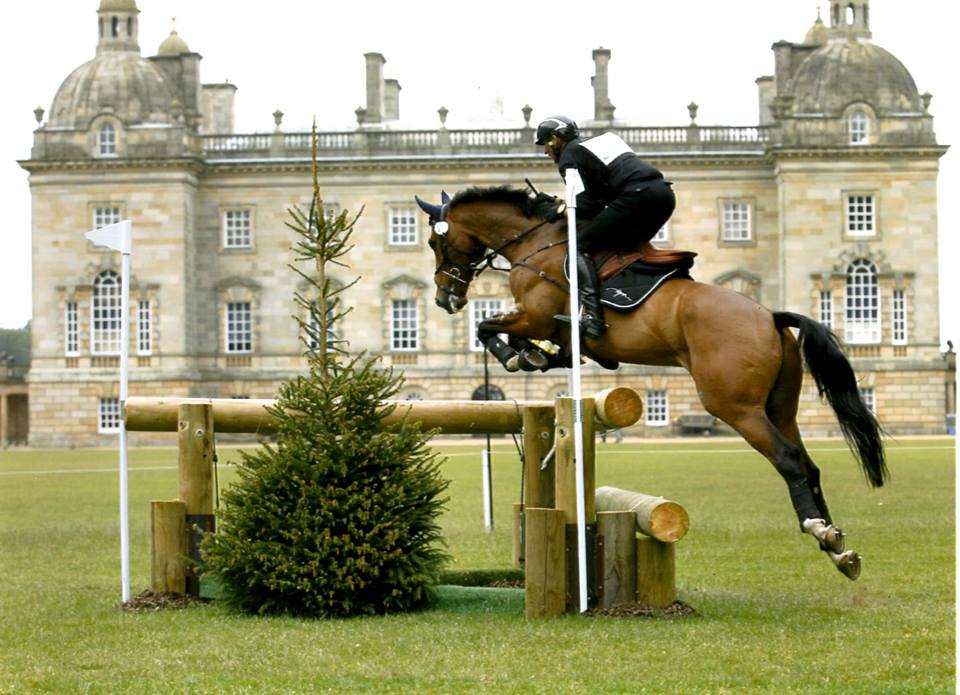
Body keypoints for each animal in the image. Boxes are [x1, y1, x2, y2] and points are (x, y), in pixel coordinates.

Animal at [416, 185, 888, 580]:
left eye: (436, 242)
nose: (444, 298)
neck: (534, 243)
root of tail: (769, 315)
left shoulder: (535, 315)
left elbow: (487, 328)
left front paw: (516, 356)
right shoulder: (550, 328)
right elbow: (523, 340)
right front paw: (533, 356)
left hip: (735, 406)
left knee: (788, 459)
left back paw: (818, 528)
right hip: (779, 406)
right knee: (808, 465)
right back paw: (836, 547)